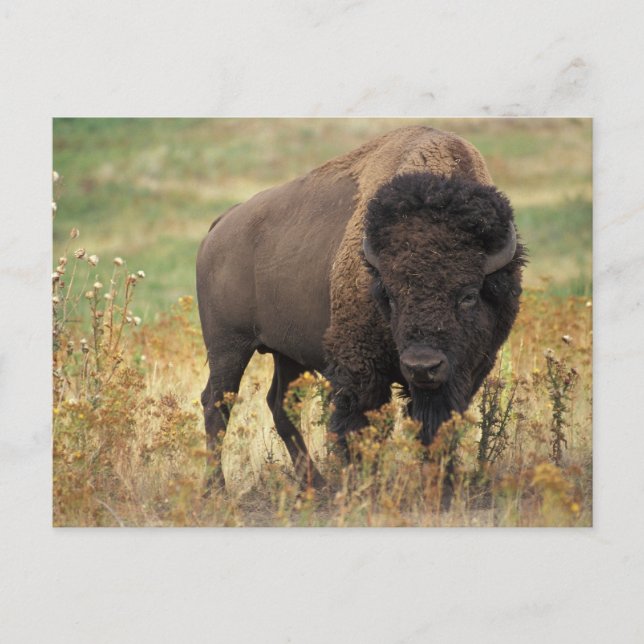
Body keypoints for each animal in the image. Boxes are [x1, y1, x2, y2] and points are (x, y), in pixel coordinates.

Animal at [196, 125, 524, 488]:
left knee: (280, 404)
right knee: (217, 404)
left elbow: (437, 426)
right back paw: (216, 487)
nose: (422, 366)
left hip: (286, 353)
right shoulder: (360, 369)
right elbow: (359, 428)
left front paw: (442, 483)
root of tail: (221, 225)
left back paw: (315, 484)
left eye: (468, 294)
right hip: (228, 346)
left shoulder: (466, 371)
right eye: (390, 295)